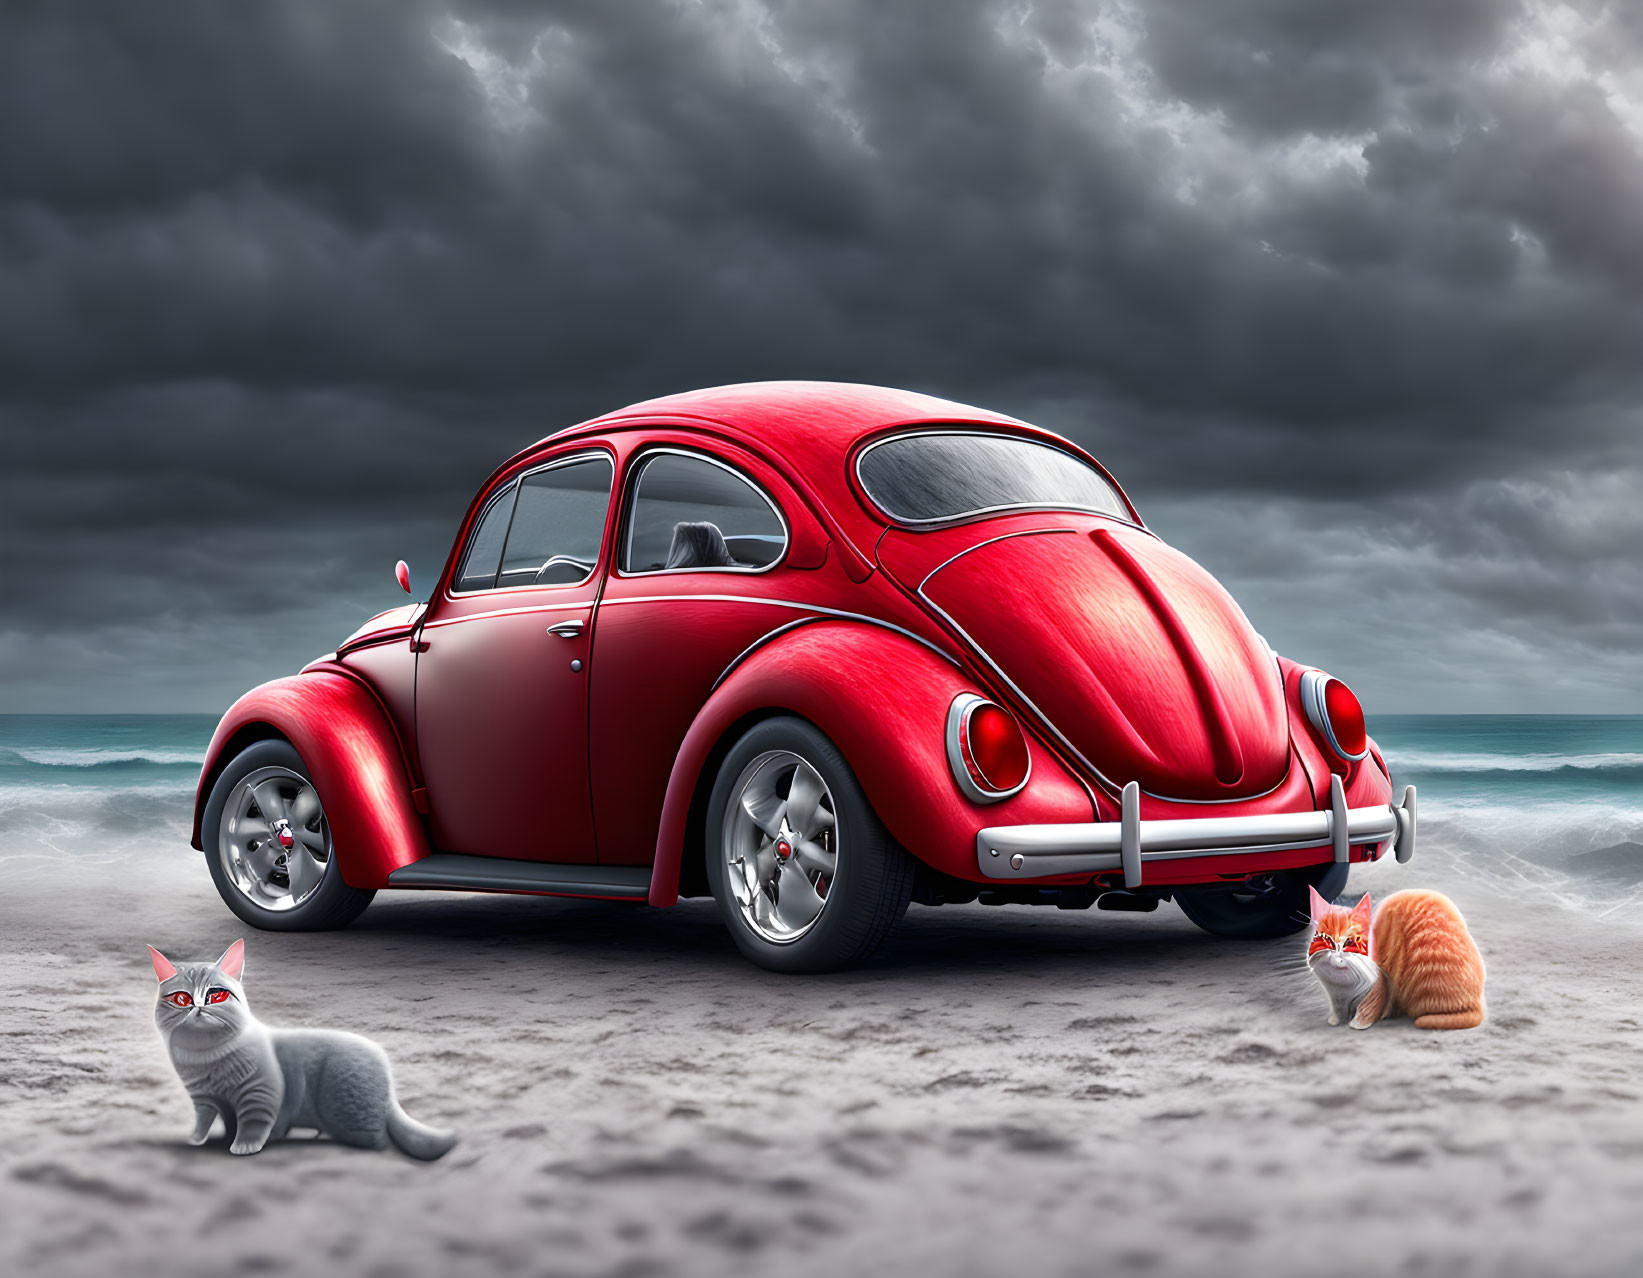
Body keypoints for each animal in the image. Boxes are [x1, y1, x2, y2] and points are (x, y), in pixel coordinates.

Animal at [149, 933, 456, 1156]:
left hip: (349, 1111)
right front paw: (199, 1138)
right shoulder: (204, 1099)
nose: (198, 1007)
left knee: (381, 1141)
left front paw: (244, 1146)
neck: (205, 1056)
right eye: (182, 999)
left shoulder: (259, 1093)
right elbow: (207, 1120)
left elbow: (253, 1123)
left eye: (216, 995)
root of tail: (384, 1064)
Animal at [1307, 893, 1491, 1031]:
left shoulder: (1380, 987)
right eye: (1325, 939)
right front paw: (1334, 1020)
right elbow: (1337, 1011)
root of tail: (1479, 1003)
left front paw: (1358, 1023)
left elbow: (1367, 1009)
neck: (1343, 989)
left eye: (1351, 941)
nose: (1335, 952)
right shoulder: (1335, 997)